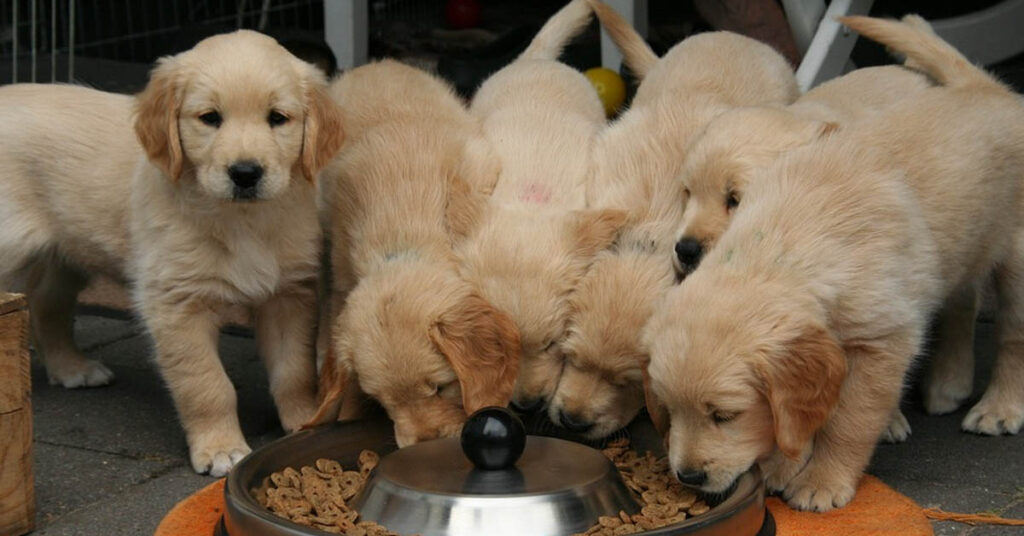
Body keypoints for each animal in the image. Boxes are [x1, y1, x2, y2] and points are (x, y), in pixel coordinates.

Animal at [0, 31, 346, 475]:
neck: (241, 220)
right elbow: (207, 384)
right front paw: (220, 448)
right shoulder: (176, 304)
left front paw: (305, 421)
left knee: (46, 303)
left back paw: (71, 367)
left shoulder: (288, 294)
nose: (245, 173)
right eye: (210, 118)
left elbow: (294, 370)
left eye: (277, 118)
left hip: (65, 252)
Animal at [643, 14, 1024, 512]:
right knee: (963, 298)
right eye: (669, 410)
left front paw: (821, 478)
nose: (688, 475)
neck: (784, 246)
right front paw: (785, 462)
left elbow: (848, 420)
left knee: (1014, 337)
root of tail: (986, 87)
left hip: (1016, 257)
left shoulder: (883, 341)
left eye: (725, 415)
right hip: (962, 247)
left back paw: (1000, 407)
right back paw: (948, 382)